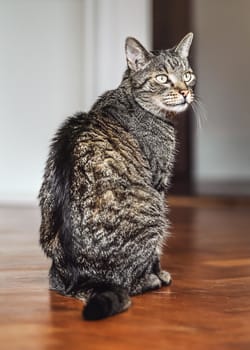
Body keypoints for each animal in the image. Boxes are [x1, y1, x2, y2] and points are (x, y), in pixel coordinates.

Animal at [38, 32, 195, 320]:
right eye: (162, 78)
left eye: (188, 75)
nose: (185, 92)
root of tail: (81, 279)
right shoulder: (159, 182)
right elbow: (156, 252)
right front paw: (159, 273)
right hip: (154, 211)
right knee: (129, 281)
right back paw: (150, 279)